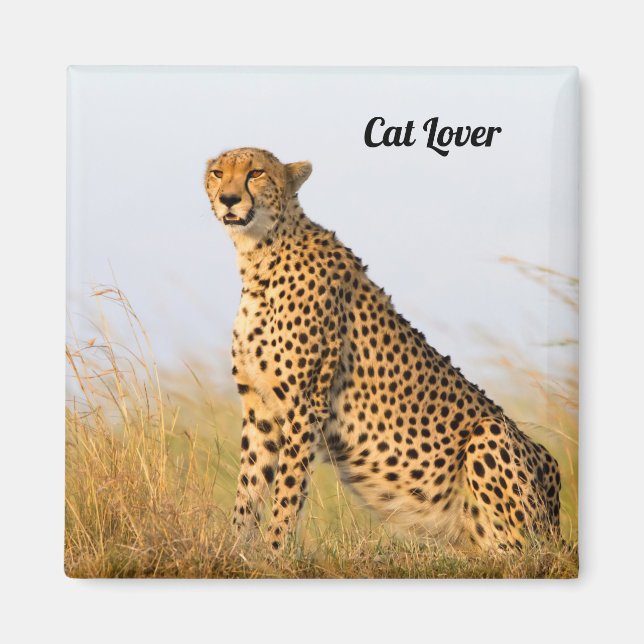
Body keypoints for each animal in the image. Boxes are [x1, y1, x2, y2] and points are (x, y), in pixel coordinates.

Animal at [204, 146, 562, 553]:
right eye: (218, 173)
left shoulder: (305, 402)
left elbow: (288, 488)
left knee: (518, 552)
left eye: (256, 173)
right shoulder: (259, 406)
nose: (228, 199)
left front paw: (276, 552)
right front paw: (236, 549)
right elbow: (249, 485)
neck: (260, 253)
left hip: (491, 438)